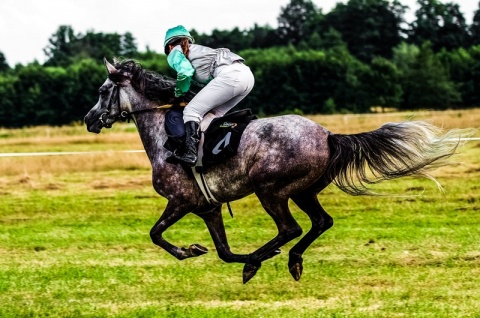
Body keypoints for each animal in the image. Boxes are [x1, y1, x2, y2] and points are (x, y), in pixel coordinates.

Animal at [84, 58, 474, 284]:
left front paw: (189, 251)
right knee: (321, 222)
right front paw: (207, 251)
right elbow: (223, 250)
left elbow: (156, 234)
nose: (89, 120)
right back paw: (292, 261)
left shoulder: (180, 202)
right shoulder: (208, 207)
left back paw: (262, 259)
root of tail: (328, 135)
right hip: (302, 191)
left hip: (270, 190)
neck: (165, 134)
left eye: (103, 90)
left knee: (291, 228)